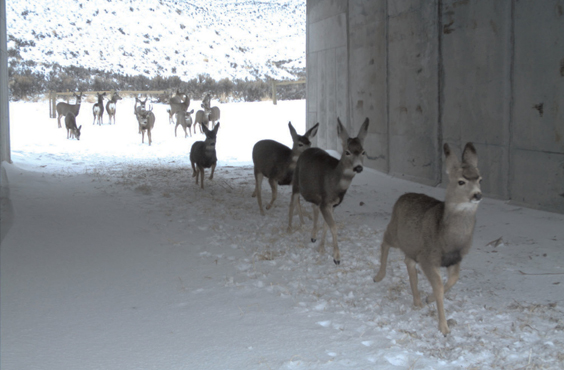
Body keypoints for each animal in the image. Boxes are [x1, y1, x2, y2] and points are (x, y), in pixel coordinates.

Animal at [286, 117, 370, 264]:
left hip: (314, 193)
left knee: (312, 207)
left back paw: (312, 235)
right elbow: (334, 226)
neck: (335, 183)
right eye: (347, 152)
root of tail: (305, 151)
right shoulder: (325, 202)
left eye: (363, 151)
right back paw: (290, 228)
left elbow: (326, 225)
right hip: (296, 182)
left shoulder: (332, 204)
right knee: (293, 202)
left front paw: (321, 248)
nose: (358, 167)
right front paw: (337, 258)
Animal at [372, 141, 482, 336]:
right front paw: (444, 327)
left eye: (480, 179)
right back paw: (379, 276)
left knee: (408, 261)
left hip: (411, 245)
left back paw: (417, 301)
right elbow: (438, 287)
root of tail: (402, 196)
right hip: (395, 231)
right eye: (461, 181)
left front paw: (428, 299)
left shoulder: (455, 258)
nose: (477, 194)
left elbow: (453, 280)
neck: (447, 238)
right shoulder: (428, 257)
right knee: (384, 242)